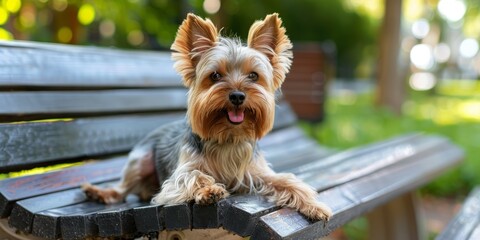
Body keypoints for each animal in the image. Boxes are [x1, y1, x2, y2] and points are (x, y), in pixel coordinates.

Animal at [81, 12, 330, 220]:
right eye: (215, 75)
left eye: (253, 75)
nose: (237, 95)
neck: (228, 136)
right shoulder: (180, 174)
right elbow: (192, 176)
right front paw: (209, 190)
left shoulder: (259, 173)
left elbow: (288, 181)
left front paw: (314, 205)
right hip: (140, 160)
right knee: (122, 189)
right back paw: (99, 193)